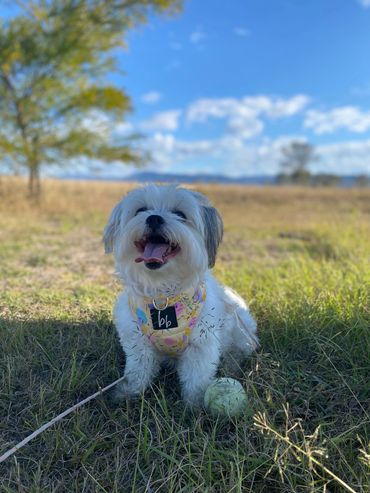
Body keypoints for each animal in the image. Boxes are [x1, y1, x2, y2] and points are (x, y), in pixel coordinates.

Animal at [104, 184, 258, 408]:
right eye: (141, 210)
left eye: (180, 214)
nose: (154, 218)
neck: (162, 297)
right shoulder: (138, 342)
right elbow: (138, 371)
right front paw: (129, 393)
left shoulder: (201, 345)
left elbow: (196, 378)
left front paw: (195, 404)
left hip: (242, 332)